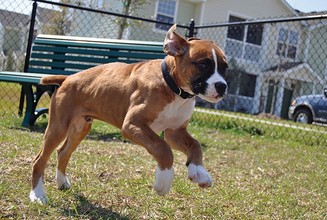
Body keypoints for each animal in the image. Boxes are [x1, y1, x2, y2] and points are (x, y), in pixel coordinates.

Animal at [29, 23, 229, 203]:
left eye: (225, 68)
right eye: (203, 64)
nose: (222, 86)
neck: (173, 87)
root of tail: (68, 78)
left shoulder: (175, 133)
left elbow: (195, 145)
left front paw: (199, 171)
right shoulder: (133, 125)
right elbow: (162, 148)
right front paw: (163, 180)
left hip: (80, 128)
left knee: (63, 153)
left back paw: (61, 182)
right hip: (58, 127)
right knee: (40, 159)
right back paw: (37, 194)